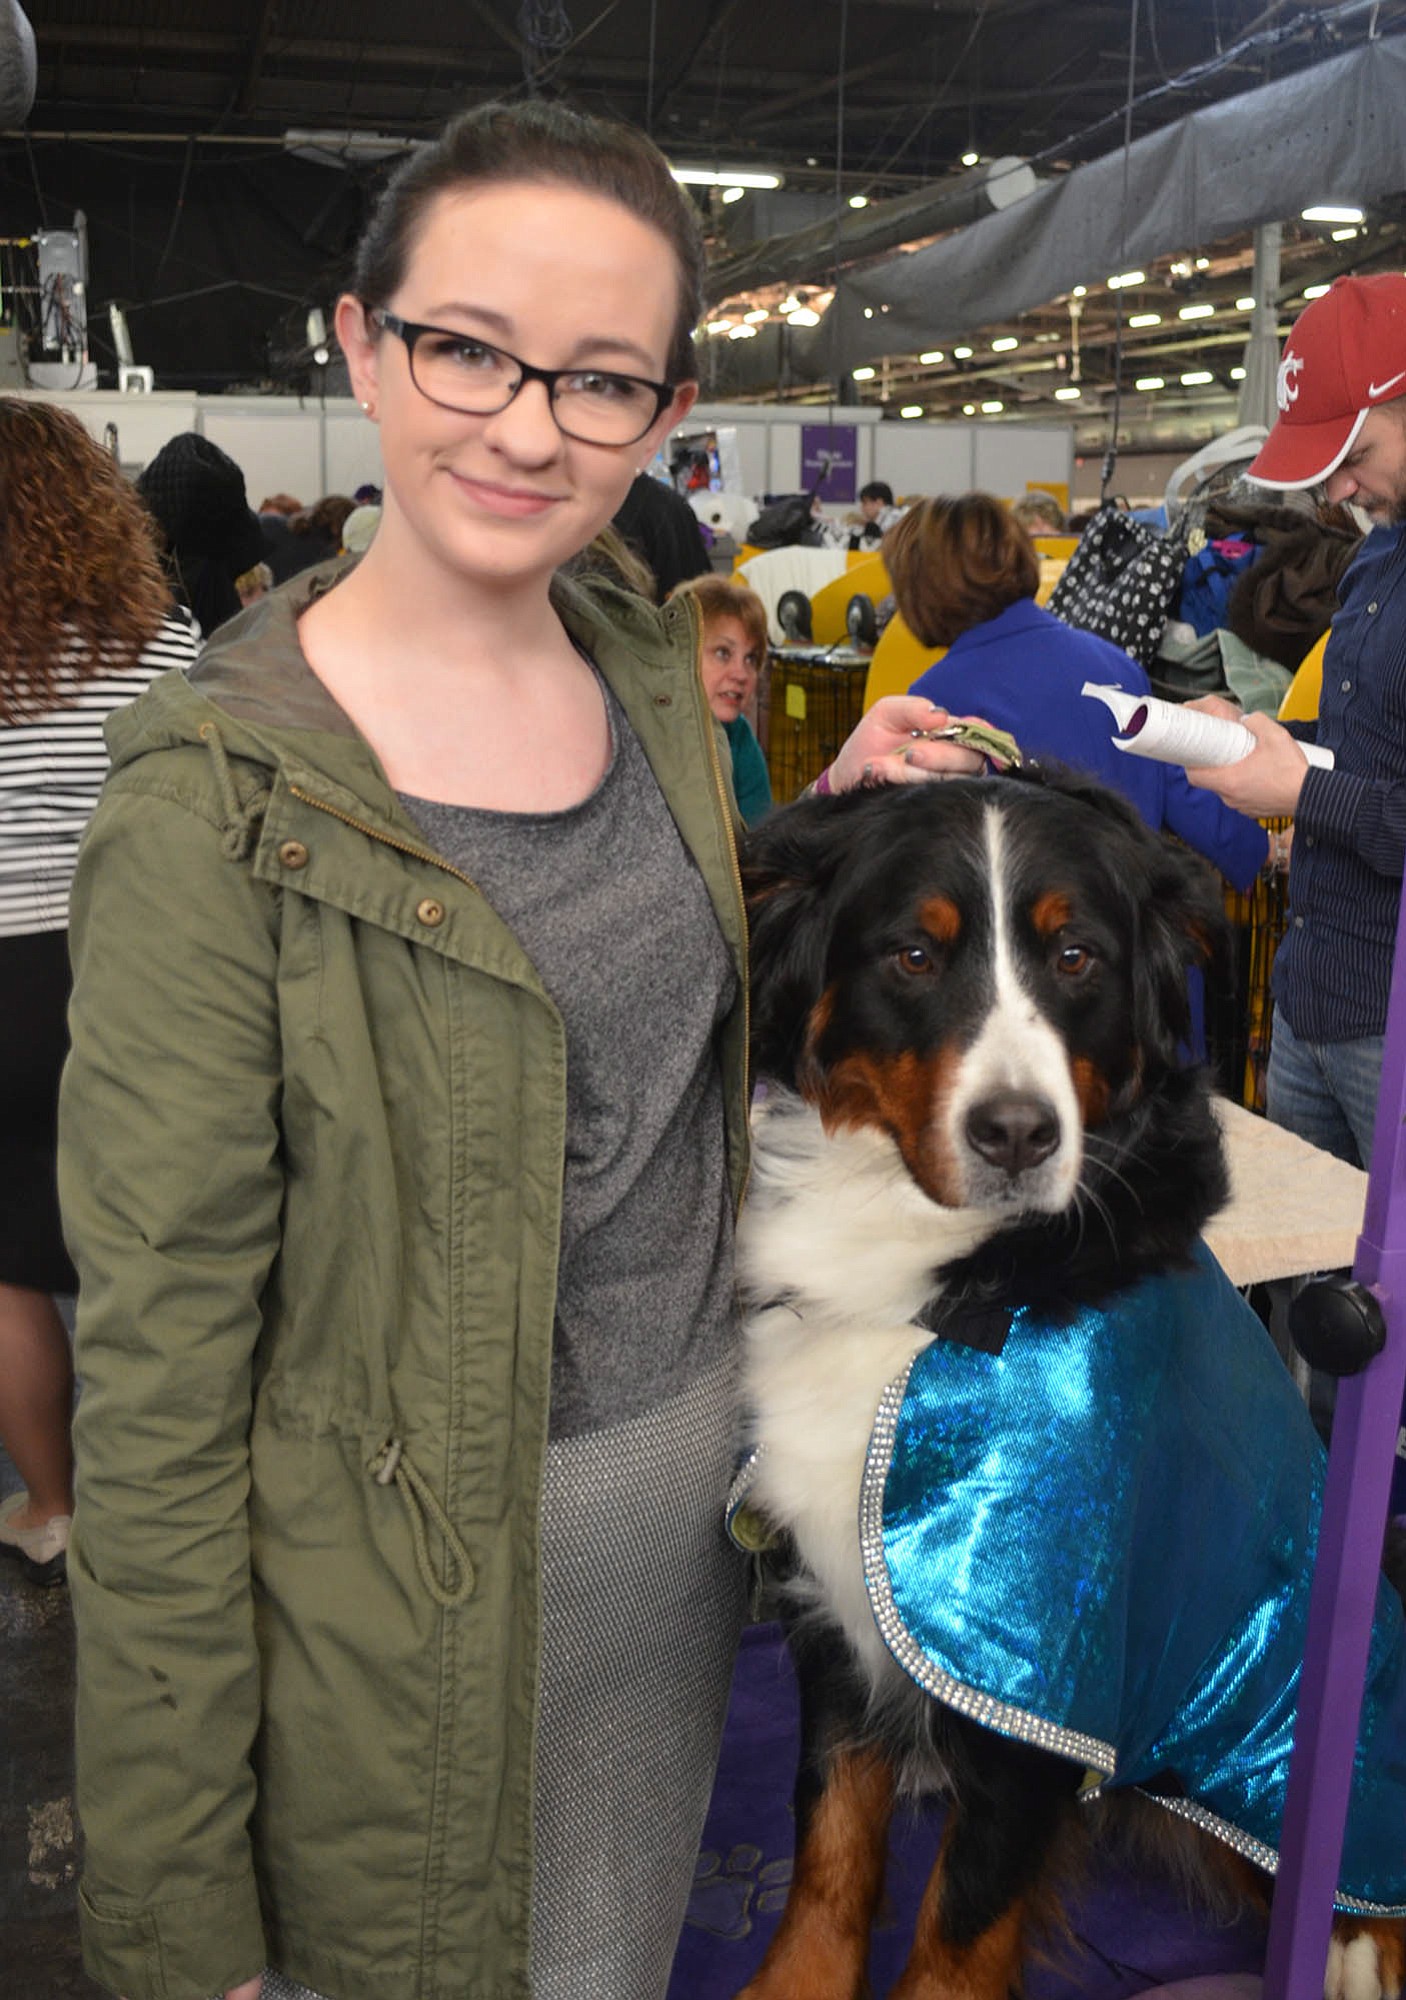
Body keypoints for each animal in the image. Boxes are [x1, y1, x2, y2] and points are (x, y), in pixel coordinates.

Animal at [736, 768, 1406, 2000]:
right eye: (913, 955)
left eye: (1076, 956)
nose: (1017, 1134)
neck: (963, 1277)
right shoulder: (846, 1608)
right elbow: (827, 1848)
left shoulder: (1042, 1664)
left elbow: (957, 1932)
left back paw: (1353, 1946)